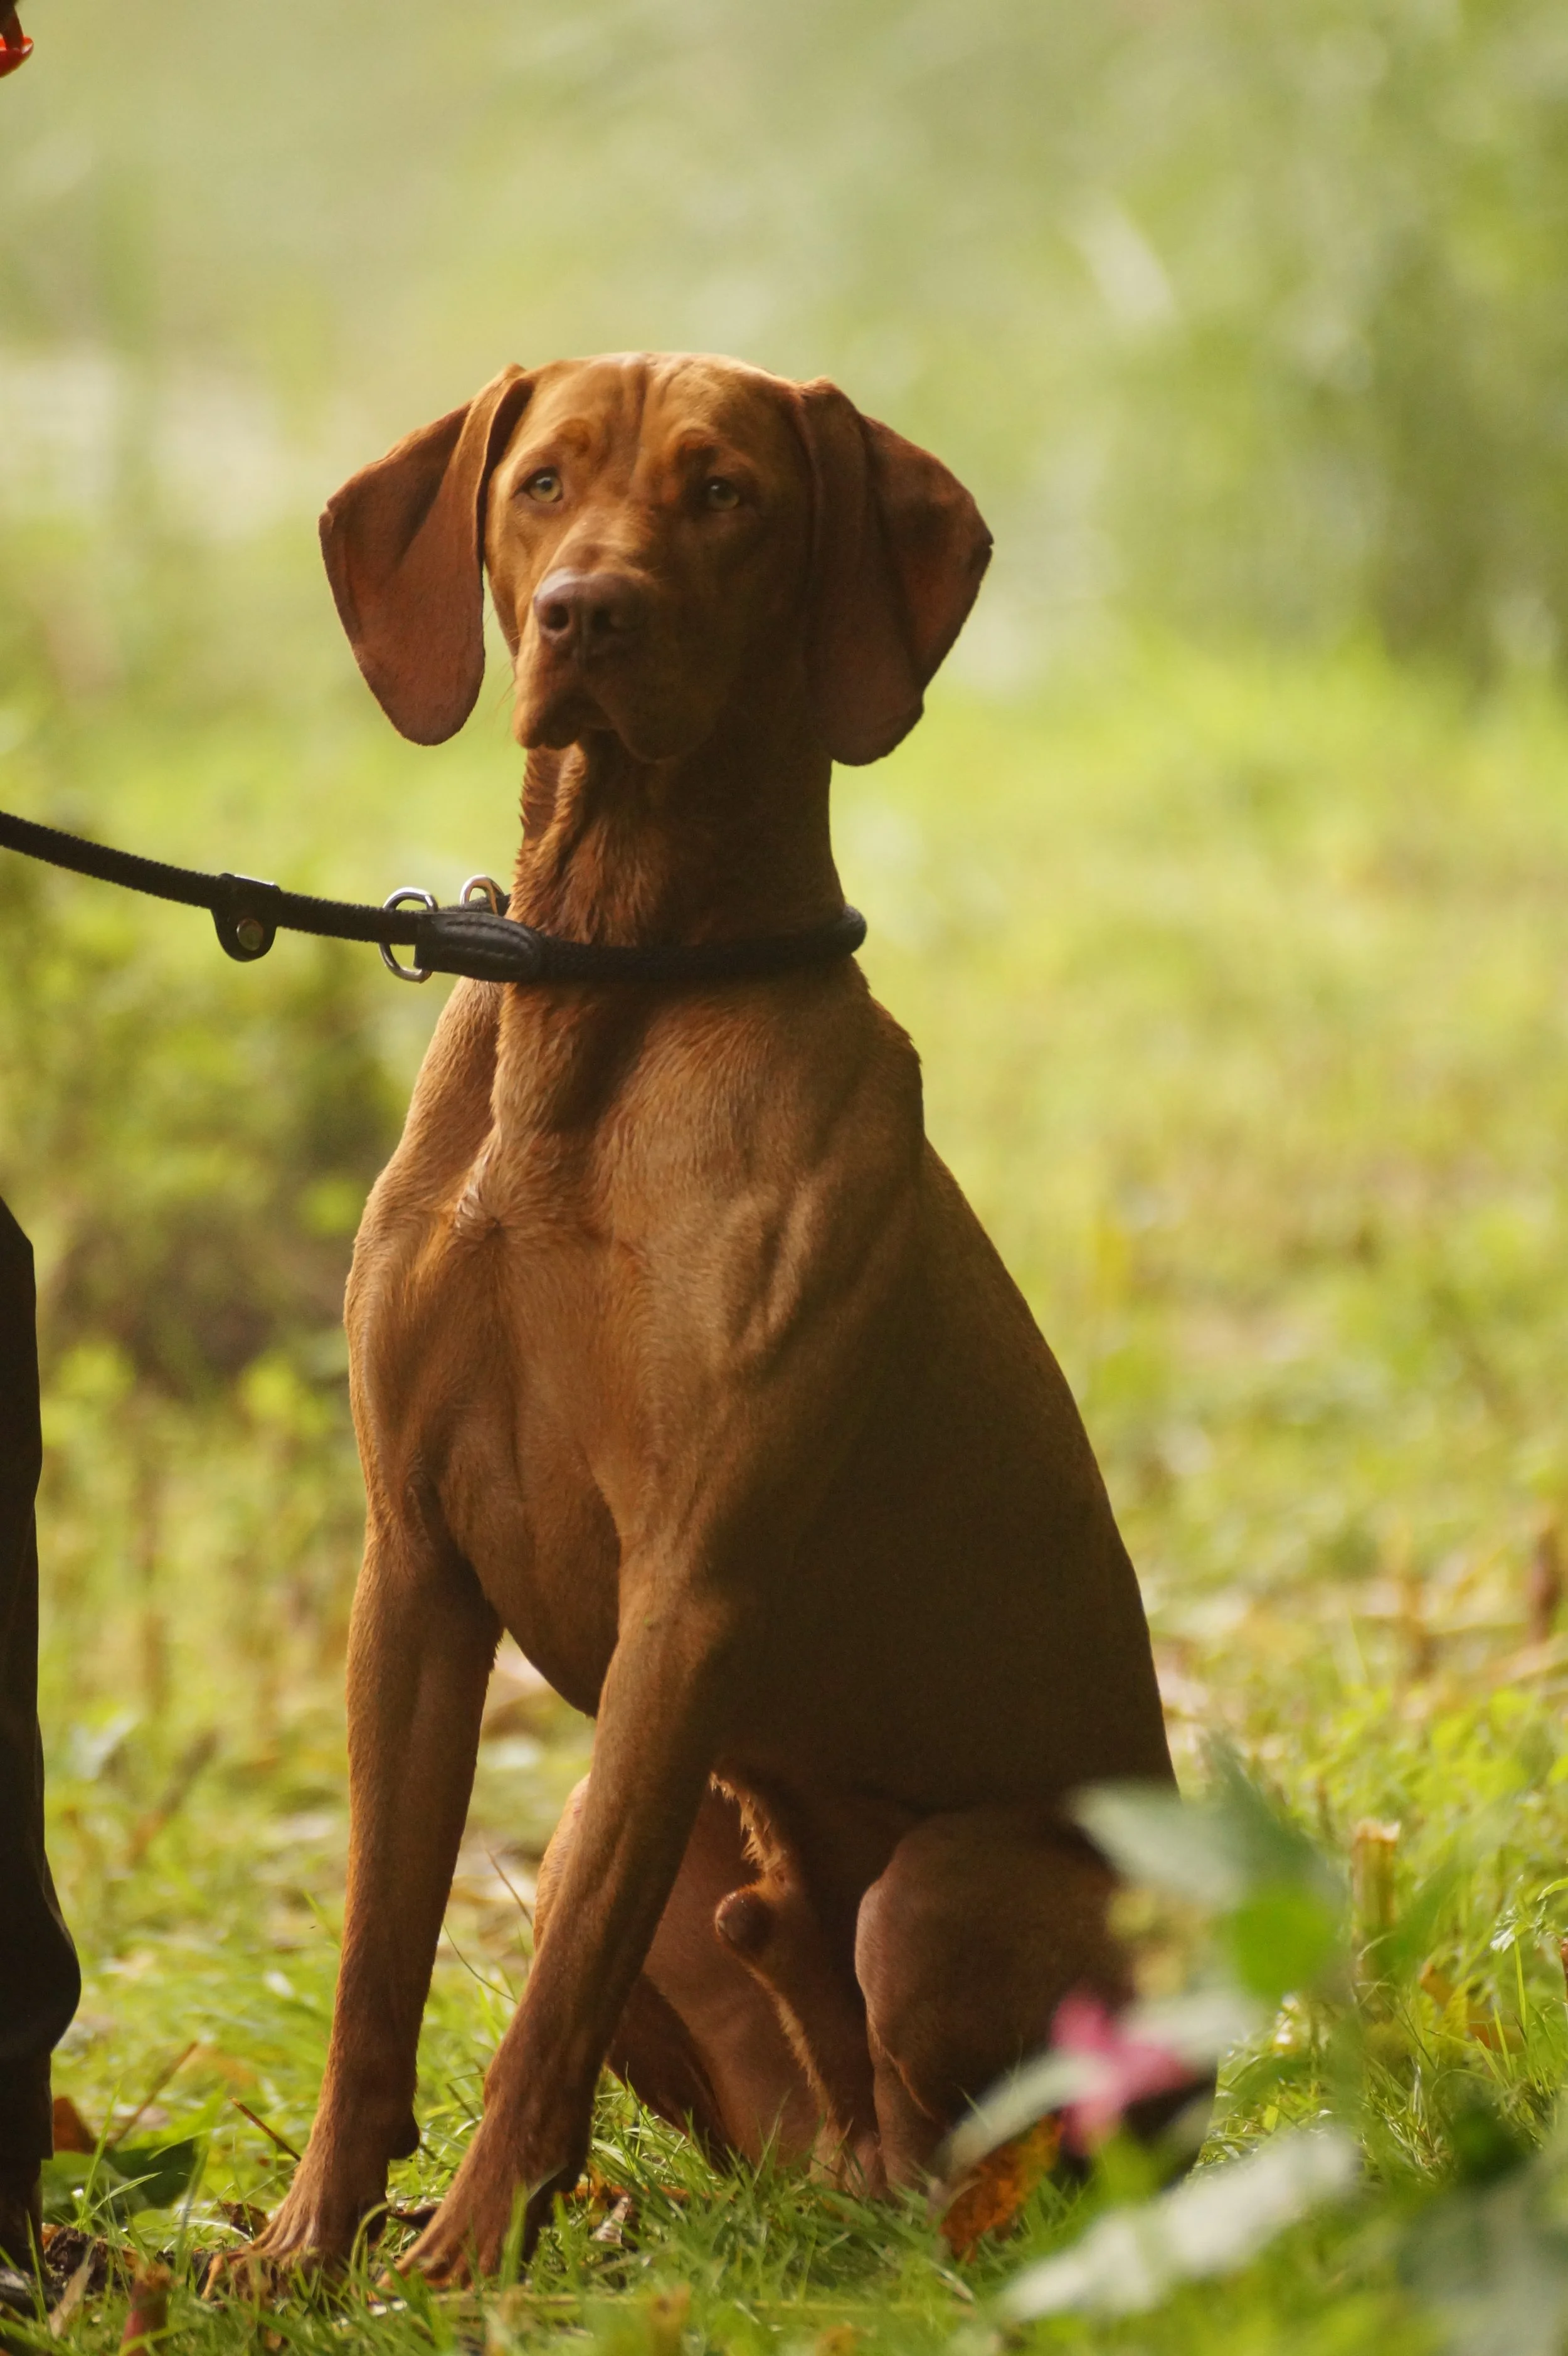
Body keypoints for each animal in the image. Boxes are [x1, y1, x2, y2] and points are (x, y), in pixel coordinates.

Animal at [241, 352, 1176, 2283]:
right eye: (539, 483)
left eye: (725, 493)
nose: (591, 610)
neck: (606, 974)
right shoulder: (410, 1563)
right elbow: (378, 1956)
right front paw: (310, 2241)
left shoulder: (691, 1584)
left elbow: (548, 1993)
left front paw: (458, 2260)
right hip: (703, 1918)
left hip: (945, 1890)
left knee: (999, 2144)